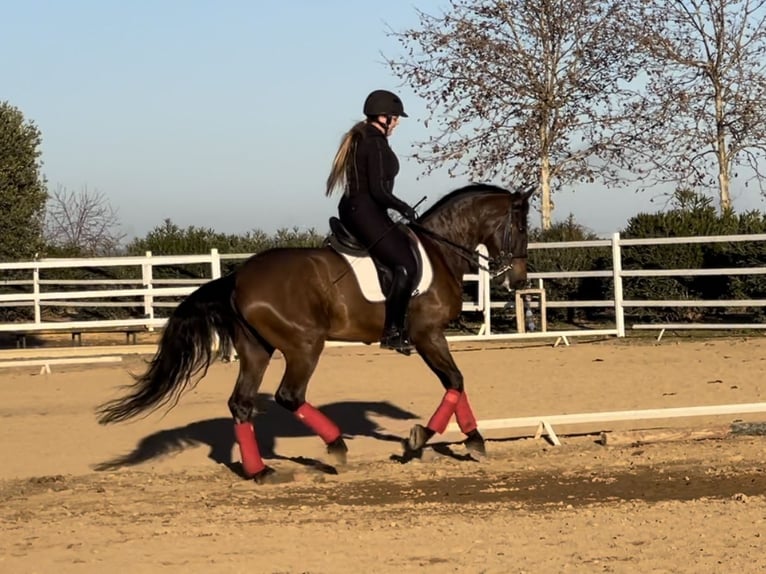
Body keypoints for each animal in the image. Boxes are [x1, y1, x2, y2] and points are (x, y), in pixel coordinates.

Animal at [95, 182, 533, 483]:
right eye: (520, 228)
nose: (519, 281)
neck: (438, 251)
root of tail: (238, 276)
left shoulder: (432, 338)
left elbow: (456, 383)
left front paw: (473, 440)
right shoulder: (427, 335)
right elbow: (455, 381)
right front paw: (421, 438)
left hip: (257, 349)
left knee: (242, 403)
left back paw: (262, 471)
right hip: (304, 345)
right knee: (290, 396)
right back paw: (335, 447)